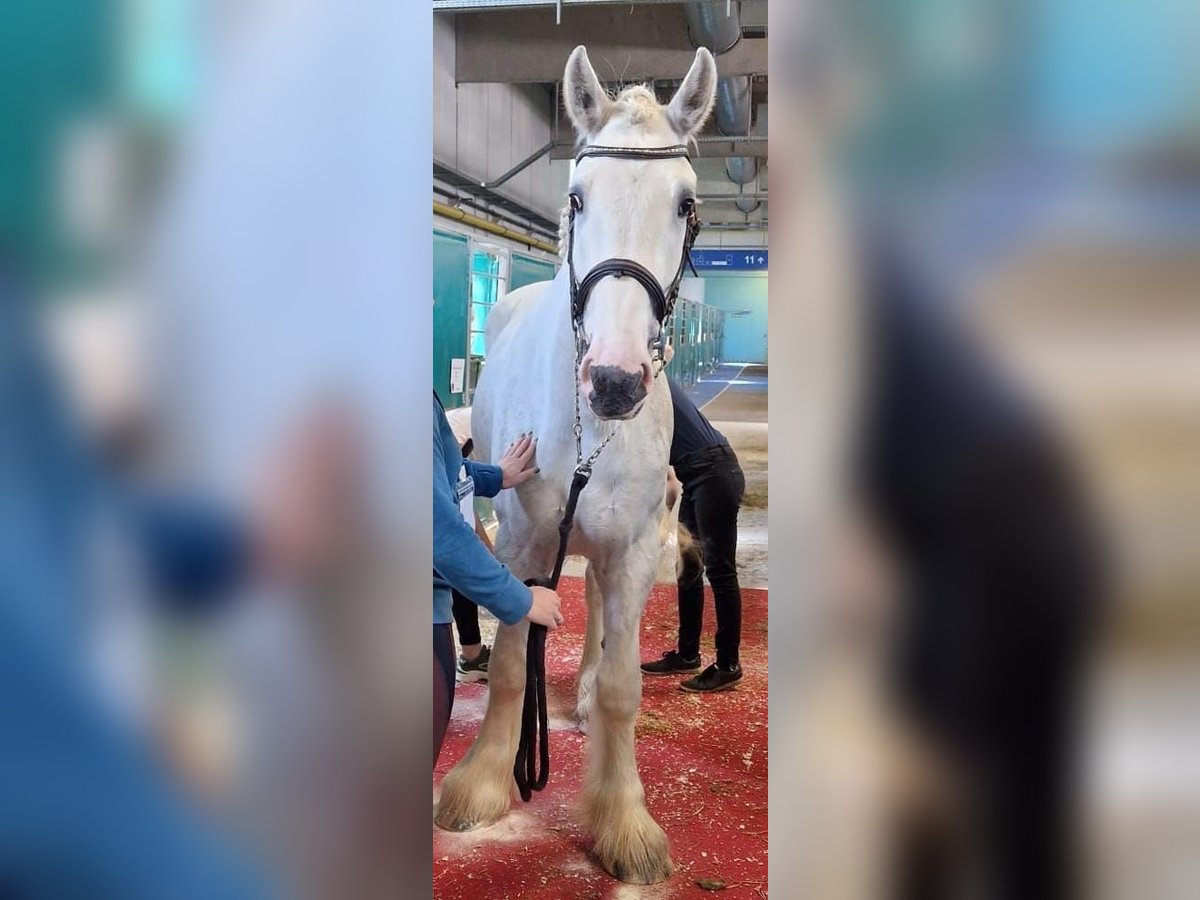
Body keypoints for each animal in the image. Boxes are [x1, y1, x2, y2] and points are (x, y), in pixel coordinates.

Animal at [433, 45, 718, 885]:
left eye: (685, 205)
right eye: (577, 197)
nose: (616, 381)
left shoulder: (634, 550)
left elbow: (625, 685)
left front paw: (623, 823)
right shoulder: (525, 543)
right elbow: (510, 662)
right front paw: (483, 783)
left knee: (595, 614)